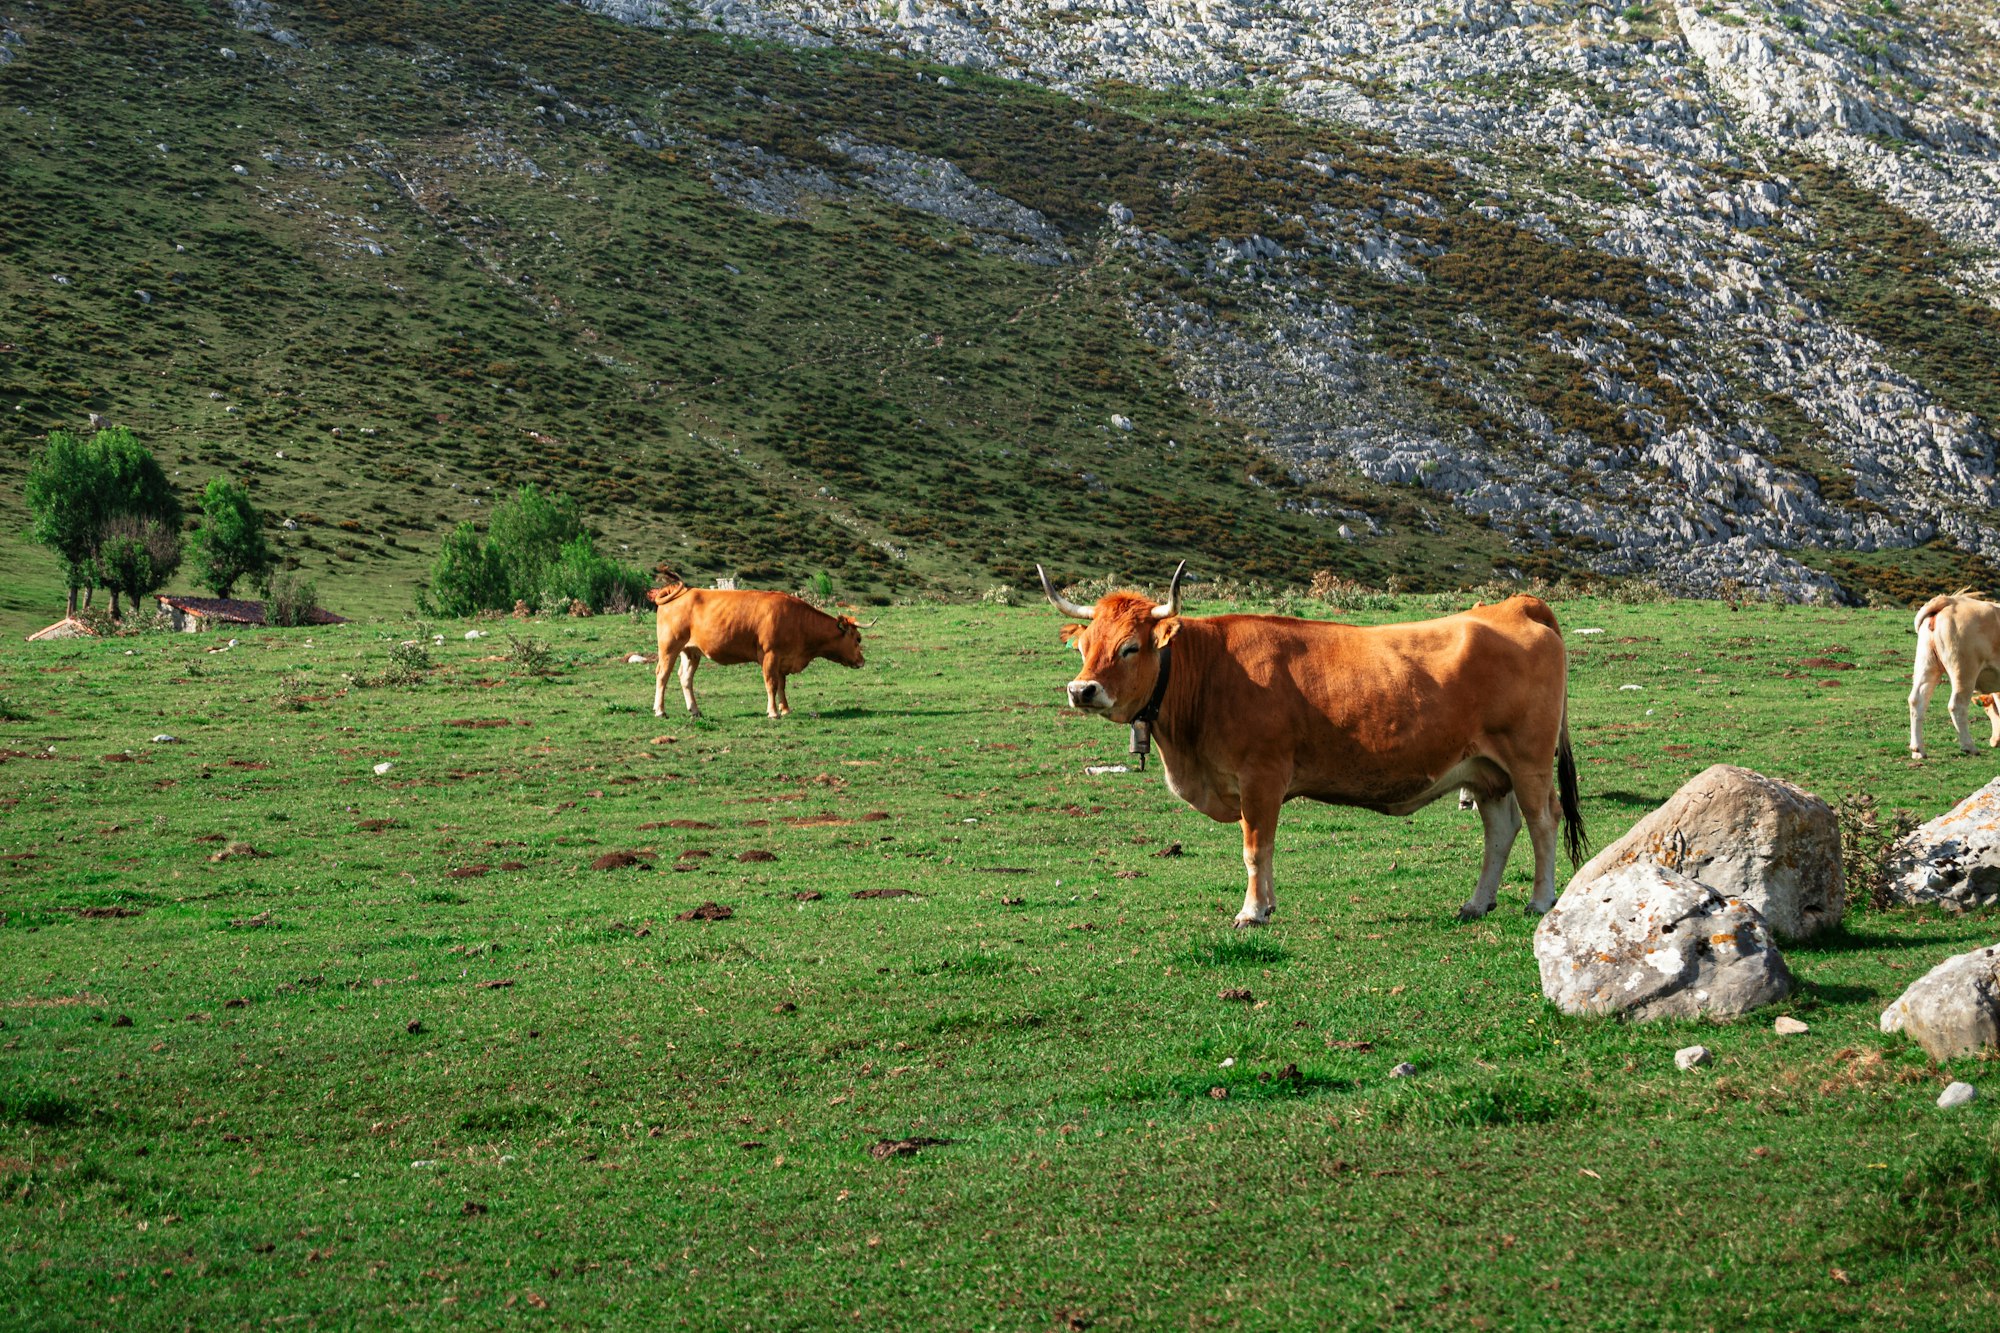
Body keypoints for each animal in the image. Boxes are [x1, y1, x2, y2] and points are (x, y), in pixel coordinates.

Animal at [651, 580, 866, 719]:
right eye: (858, 638)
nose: (862, 661)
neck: (797, 620)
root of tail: (684, 592)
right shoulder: (770, 655)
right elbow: (771, 684)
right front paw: (773, 712)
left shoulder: (783, 660)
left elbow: (782, 685)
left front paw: (785, 709)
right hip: (669, 647)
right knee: (663, 675)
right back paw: (660, 710)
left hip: (691, 651)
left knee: (685, 678)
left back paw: (695, 710)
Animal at [1040, 563, 1585, 927]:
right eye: (1084, 646)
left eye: (1130, 647)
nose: (1081, 690)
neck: (1211, 671)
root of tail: (1515, 606)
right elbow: (1263, 849)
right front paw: (1267, 906)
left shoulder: (1261, 777)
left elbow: (1256, 848)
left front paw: (1252, 912)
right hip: (1485, 769)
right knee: (1501, 829)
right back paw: (1476, 902)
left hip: (1529, 762)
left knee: (1543, 822)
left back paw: (1541, 900)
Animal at [1908, 590, 2000, 757]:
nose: (1994, 742)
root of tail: (1952, 601)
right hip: (1964, 670)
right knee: (1957, 705)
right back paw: (1969, 746)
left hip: (1927, 664)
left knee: (1917, 700)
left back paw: (1918, 750)